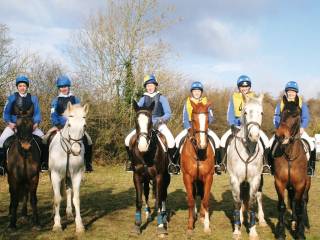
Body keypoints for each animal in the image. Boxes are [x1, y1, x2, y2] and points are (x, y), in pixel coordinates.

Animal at [48, 101, 89, 232]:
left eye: (84, 126)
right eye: (69, 125)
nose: (76, 150)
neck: (67, 150)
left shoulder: (76, 175)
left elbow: (76, 199)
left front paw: (79, 225)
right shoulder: (55, 175)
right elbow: (57, 198)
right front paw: (57, 225)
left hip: (68, 176)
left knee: (69, 191)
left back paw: (69, 212)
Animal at [129, 99, 171, 236]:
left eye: (151, 121)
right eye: (136, 121)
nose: (142, 146)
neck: (146, 154)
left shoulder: (159, 177)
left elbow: (158, 200)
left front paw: (160, 226)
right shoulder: (137, 176)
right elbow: (139, 200)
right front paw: (137, 225)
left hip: (165, 177)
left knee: (163, 195)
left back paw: (163, 216)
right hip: (146, 179)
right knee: (147, 193)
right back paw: (148, 214)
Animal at [180, 100, 215, 233]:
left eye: (207, 120)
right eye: (193, 119)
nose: (202, 144)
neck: (198, 153)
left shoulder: (209, 177)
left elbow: (205, 200)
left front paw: (206, 225)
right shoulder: (187, 177)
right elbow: (190, 200)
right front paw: (190, 226)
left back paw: (201, 216)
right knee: (194, 195)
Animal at [228, 94, 268, 240]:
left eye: (261, 113)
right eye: (245, 112)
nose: (254, 136)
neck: (247, 149)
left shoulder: (255, 179)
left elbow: (251, 203)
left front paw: (253, 231)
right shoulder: (235, 180)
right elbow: (237, 202)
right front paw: (236, 230)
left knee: (259, 197)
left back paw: (261, 220)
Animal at [272, 94, 310, 239]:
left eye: (295, 114)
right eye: (281, 114)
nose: (280, 136)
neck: (290, 155)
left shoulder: (300, 184)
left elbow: (299, 206)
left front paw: (300, 233)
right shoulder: (279, 182)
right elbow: (282, 206)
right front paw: (281, 232)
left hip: (307, 183)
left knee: (303, 201)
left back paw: (304, 223)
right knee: (293, 201)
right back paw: (293, 221)